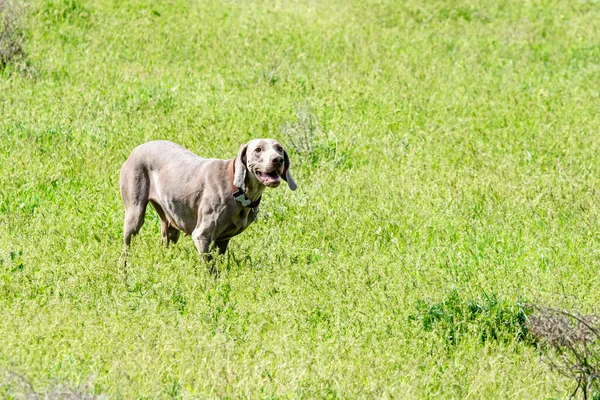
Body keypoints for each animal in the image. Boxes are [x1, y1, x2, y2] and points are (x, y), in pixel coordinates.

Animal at [118, 139, 296, 260]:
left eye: (279, 149)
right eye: (258, 149)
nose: (278, 159)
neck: (236, 189)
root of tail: (136, 149)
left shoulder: (223, 239)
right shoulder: (202, 235)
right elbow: (211, 269)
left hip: (170, 223)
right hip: (134, 213)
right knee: (125, 250)